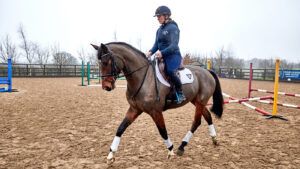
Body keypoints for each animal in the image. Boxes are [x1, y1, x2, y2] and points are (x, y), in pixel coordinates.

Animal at [91, 42, 223, 164]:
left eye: (106, 62)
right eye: (100, 63)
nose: (106, 87)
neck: (142, 78)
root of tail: (207, 71)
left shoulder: (155, 111)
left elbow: (162, 130)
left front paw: (170, 151)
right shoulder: (134, 109)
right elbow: (120, 128)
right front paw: (111, 154)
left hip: (200, 101)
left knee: (197, 121)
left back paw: (182, 146)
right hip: (196, 101)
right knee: (207, 116)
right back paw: (214, 139)